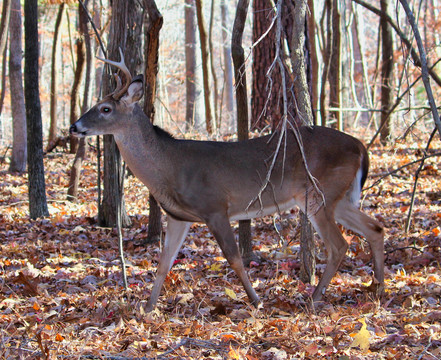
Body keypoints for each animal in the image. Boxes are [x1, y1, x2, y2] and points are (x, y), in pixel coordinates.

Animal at [70, 51, 384, 312]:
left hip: (320, 194)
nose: (74, 126)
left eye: (105, 108)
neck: (168, 167)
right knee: (375, 228)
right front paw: (147, 308)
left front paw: (256, 301)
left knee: (339, 245)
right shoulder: (178, 216)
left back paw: (316, 298)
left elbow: (234, 258)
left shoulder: (215, 207)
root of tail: (360, 147)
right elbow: (163, 262)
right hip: (338, 197)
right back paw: (377, 287)